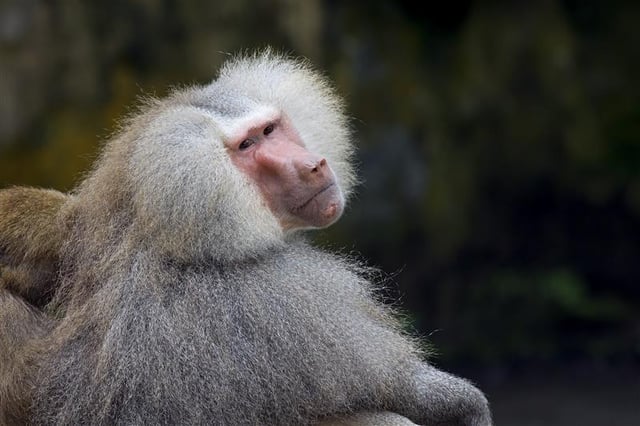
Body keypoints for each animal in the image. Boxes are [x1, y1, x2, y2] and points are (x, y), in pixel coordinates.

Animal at [0, 50, 491, 425]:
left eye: (270, 129)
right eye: (247, 147)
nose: (313, 166)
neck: (162, 226)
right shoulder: (270, 302)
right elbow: (398, 387)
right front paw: (464, 404)